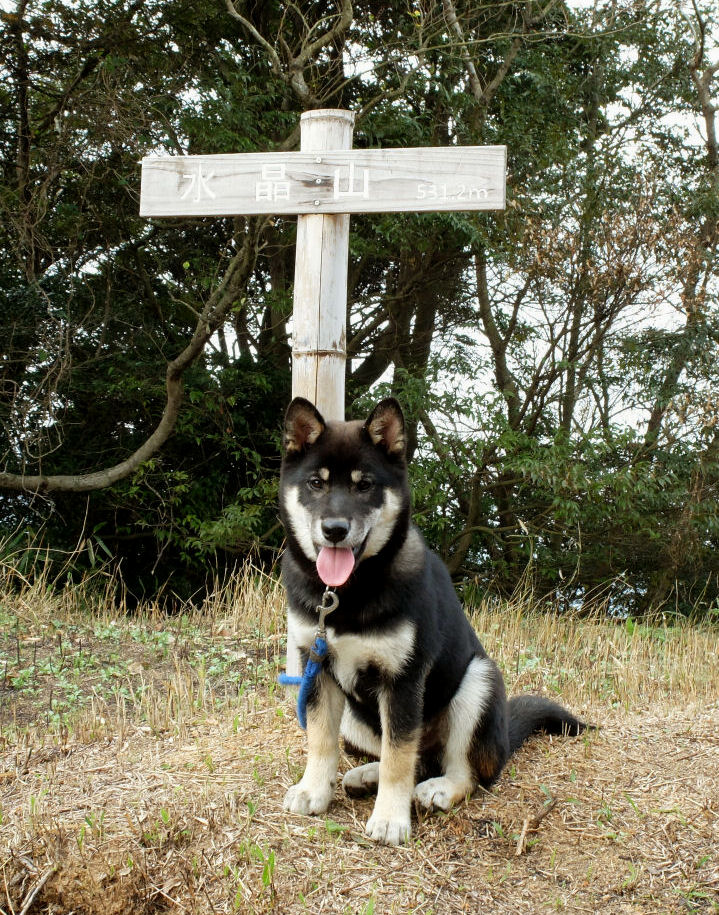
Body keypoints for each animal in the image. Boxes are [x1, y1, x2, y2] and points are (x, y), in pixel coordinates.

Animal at [279, 396, 586, 845]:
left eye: (364, 485)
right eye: (316, 484)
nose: (334, 530)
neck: (346, 593)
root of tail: (503, 739)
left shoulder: (403, 679)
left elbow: (398, 757)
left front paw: (390, 819)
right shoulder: (316, 669)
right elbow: (321, 741)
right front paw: (313, 791)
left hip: (477, 682)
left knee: (463, 771)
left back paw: (438, 789)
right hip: (356, 716)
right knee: (413, 758)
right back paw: (366, 775)